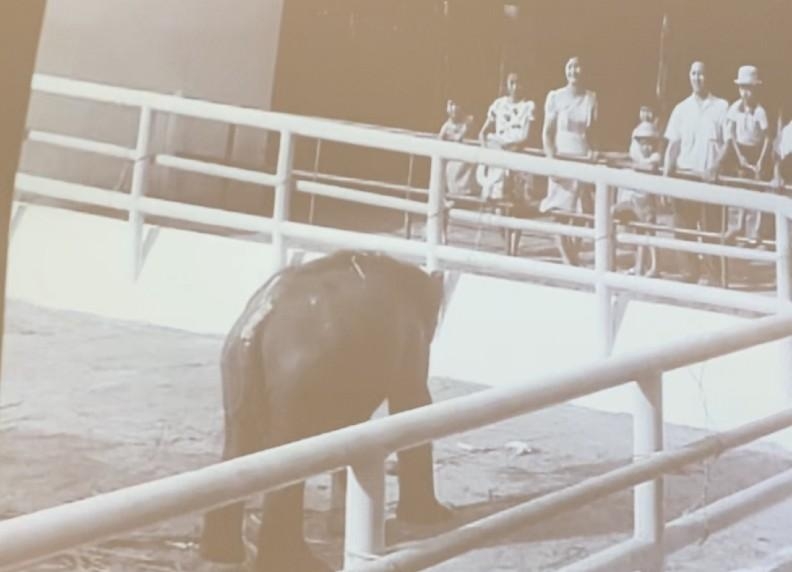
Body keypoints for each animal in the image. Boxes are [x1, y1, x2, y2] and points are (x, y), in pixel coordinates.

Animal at [200, 250, 452, 571]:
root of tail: (260, 317)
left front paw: (339, 528)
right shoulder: (410, 342)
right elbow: (412, 401)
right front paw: (436, 517)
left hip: (237, 369)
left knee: (239, 445)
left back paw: (221, 554)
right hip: (297, 378)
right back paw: (295, 561)